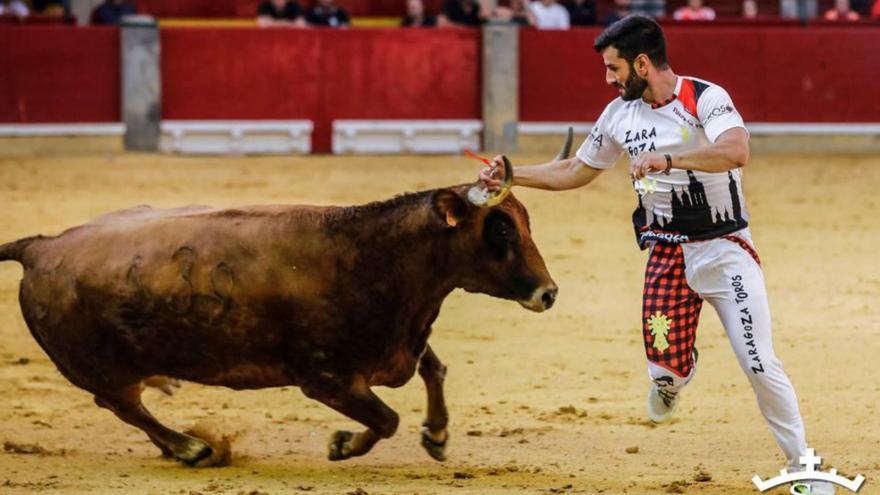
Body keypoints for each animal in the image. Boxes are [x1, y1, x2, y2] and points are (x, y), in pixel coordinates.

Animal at [0, 142, 572, 464]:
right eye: (501, 228)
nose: (548, 292)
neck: (373, 254)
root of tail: (39, 246)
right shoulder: (326, 380)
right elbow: (386, 419)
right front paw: (342, 446)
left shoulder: (399, 349)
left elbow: (434, 370)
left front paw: (437, 435)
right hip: (99, 369)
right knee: (122, 404)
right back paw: (191, 447)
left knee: (128, 407)